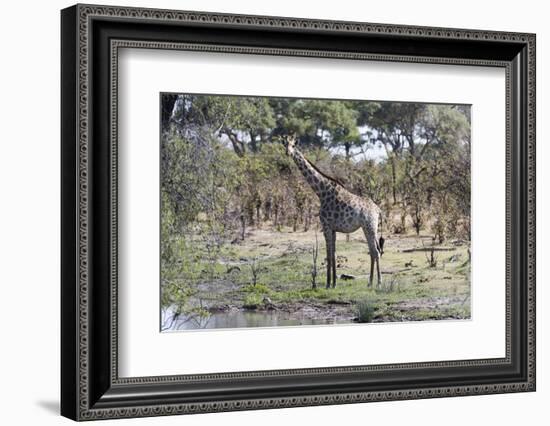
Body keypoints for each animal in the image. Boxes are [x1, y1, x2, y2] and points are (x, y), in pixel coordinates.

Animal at [282, 136, 386, 290]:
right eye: (285, 145)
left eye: (293, 146)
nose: (288, 153)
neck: (321, 192)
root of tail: (377, 209)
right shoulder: (333, 228)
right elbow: (334, 255)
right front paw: (333, 283)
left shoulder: (326, 225)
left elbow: (329, 254)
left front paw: (327, 284)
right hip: (367, 228)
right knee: (373, 251)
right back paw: (370, 282)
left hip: (370, 226)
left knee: (376, 252)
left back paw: (378, 283)